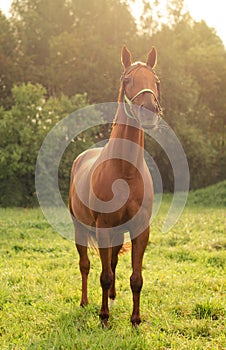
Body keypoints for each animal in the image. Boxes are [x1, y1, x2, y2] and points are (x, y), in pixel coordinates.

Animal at [68, 45, 162, 326]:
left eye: (156, 81)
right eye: (128, 80)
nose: (149, 110)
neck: (125, 172)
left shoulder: (140, 229)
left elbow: (135, 277)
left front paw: (135, 319)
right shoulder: (102, 229)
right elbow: (104, 274)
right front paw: (103, 317)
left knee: (112, 261)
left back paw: (111, 297)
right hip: (80, 228)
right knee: (86, 265)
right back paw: (86, 302)